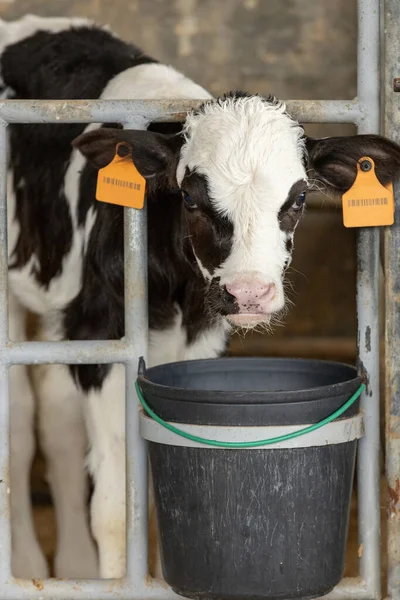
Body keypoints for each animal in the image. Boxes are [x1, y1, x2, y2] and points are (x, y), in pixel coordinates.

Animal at [3, 14, 400, 584]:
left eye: (300, 197)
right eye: (190, 197)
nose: (250, 292)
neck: (179, 291)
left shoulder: (199, 339)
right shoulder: (102, 329)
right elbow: (116, 507)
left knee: (56, 415)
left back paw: (71, 563)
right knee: (18, 418)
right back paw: (30, 564)